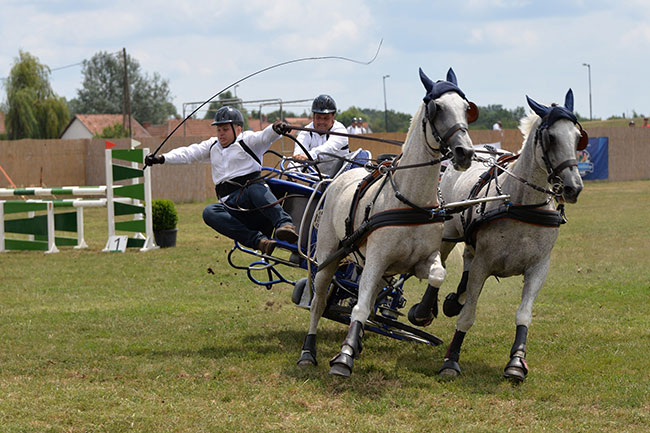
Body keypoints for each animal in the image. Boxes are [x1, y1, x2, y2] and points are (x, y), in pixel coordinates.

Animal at [298, 67, 476, 374]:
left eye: (466, 108)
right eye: (437, 108)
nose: (465, 153)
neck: (410, 200)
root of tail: (338, 177)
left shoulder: (418, 262)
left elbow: (437, 275)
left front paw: (422, 312)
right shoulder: (377, 259)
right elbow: (358, 307)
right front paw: (343, 357)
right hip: (329, 257)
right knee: (319, 301)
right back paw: (308, 352)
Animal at [422, 89, 584, 380]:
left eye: (578, 137)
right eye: (551, 137)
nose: (573, 188)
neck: (523, 205)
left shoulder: (538, 268)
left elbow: (524, 314)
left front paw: (517, 362)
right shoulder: (484, 265)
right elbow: (468, 316)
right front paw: (451, 360)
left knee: (467, 258)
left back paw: (454, 300)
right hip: (449, 232)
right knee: (443, 262)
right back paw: (424, 310)